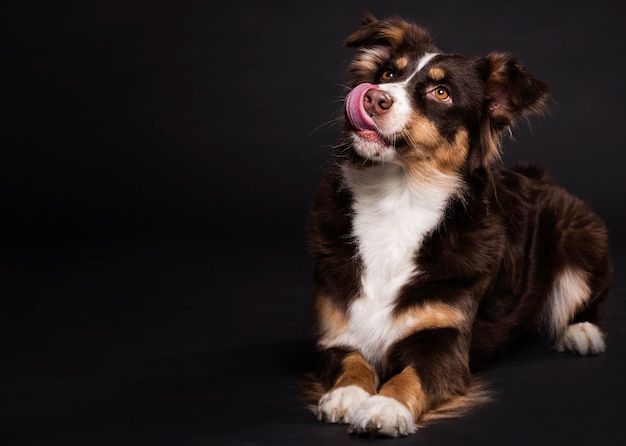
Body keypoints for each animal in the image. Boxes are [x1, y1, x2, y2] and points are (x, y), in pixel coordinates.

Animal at [302, 15, 608, 438]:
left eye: (441, 92)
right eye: (388, 74)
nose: (373, 98)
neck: (397, 198)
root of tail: (540, 177)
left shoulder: (445, 340)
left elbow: (411, 376)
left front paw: (386, 406)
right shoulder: (335, 332)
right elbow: (350, 362)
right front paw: (347, 394)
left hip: (578, 230)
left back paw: (581, 331)